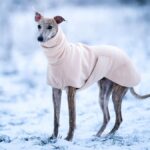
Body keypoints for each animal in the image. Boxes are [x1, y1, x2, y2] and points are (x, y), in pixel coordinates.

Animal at [34, 12, 150, 141]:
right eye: (39, 26)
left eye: (50, 27)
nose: (39, 38)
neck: (60, 55)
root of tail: (128, 58)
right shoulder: (56, 91)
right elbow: (56, 118)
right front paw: (53, 137)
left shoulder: (71, 91)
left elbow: (71, 118)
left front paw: (69, 138)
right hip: (103, 95)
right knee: (107, 117)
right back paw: (98, 135)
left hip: (116, 94)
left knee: (119, 119)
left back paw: (108, 135)